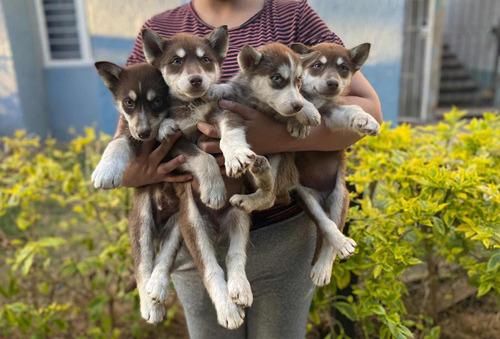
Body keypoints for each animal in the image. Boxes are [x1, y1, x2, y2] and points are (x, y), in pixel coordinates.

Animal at [290, 41, 378, 286]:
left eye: (344, 69)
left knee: (331, 235)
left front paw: (366, 119)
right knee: (325, 224)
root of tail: (323, 197)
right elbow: (299, 101)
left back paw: (327, 264)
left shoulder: (331, 115)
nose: (333, 83)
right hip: (306, 197)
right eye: (318, 66)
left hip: (341, 198)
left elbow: (352, 109)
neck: (318, 99)